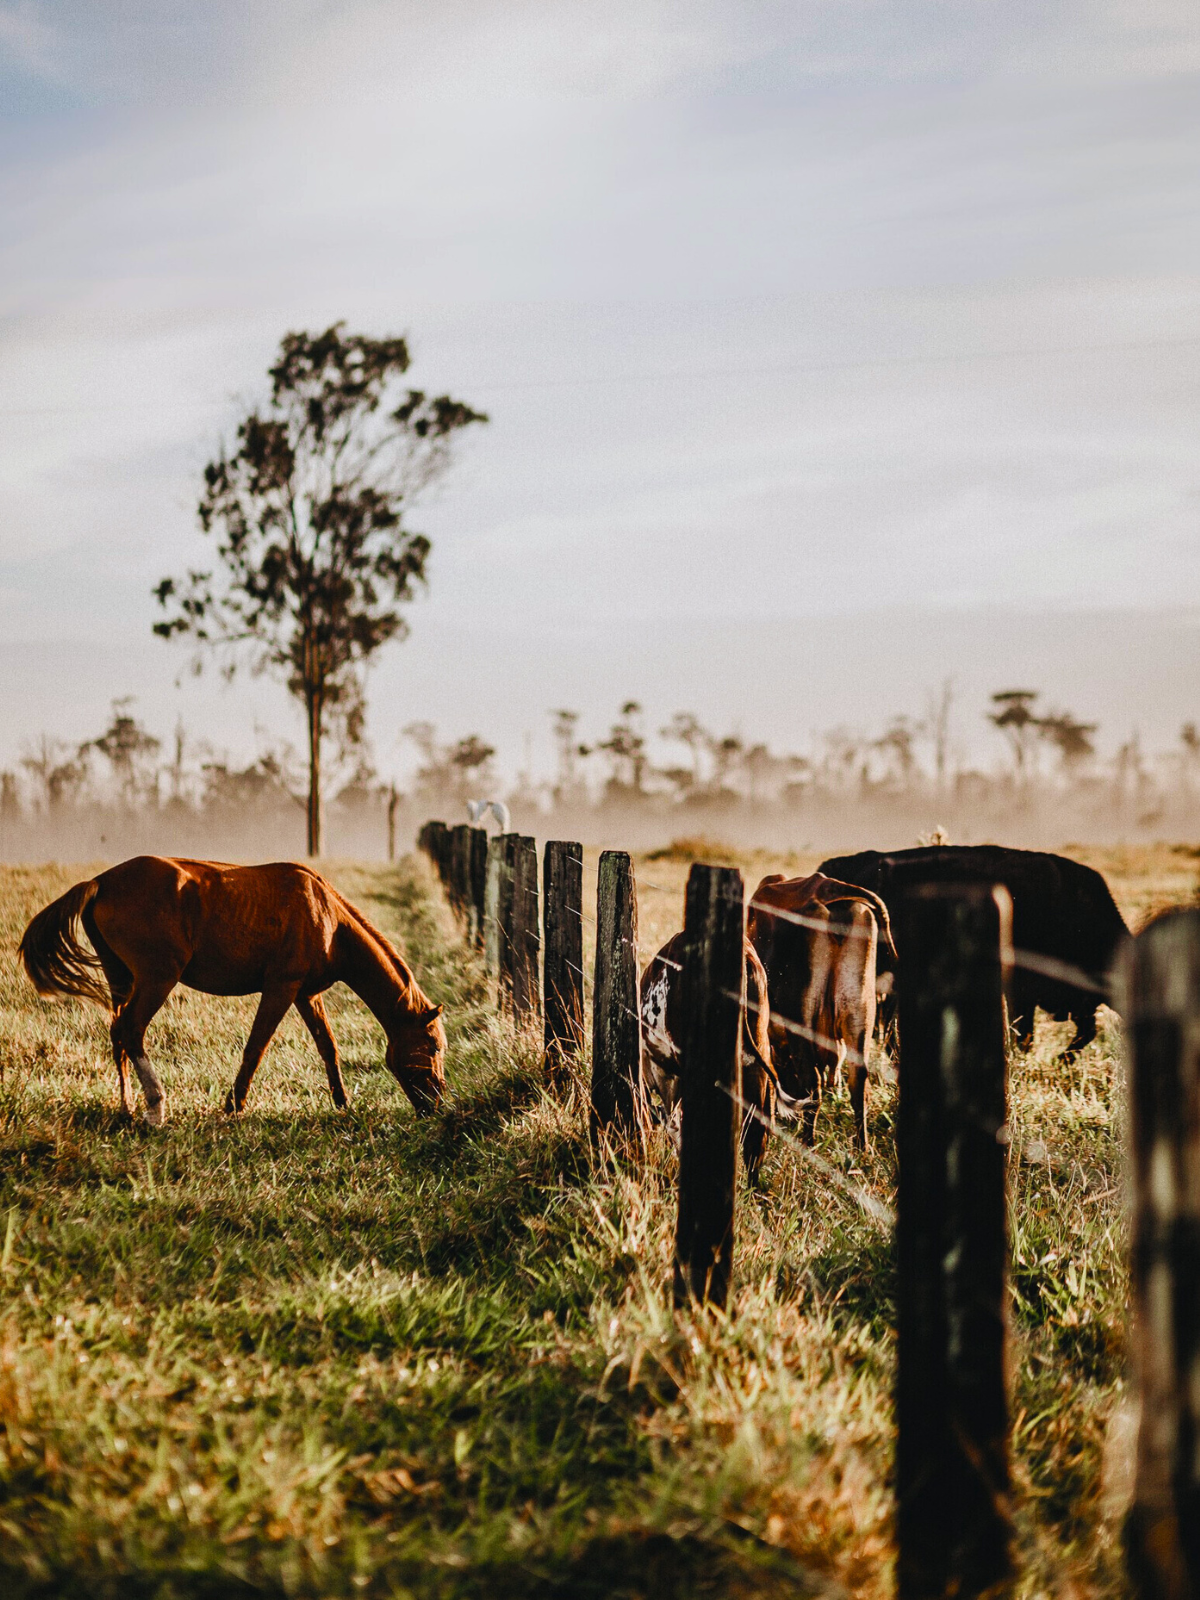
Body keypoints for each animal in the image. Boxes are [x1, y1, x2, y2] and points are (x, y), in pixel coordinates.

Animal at [17, 856, 446, 1125]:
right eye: (435, 1046)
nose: (438, 1103)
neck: (327, 918)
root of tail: (101, 882)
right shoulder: (281, 989)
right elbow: (256, 1047)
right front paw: (233, 1105)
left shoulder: (307, 995)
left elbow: (328, 1046)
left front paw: (342, 1103)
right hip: (157, 979)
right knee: (131, 1030)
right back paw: (156, 1108)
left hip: (120, 977)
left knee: (117, 1033)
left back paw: (126, 1106)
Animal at [747, 873, 896, 1151]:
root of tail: (825, 887)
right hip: (859, 1014)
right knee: (858, 1081)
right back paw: (861, 1146)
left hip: (802, 1020)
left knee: (812, 1084)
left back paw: (808, 1142)